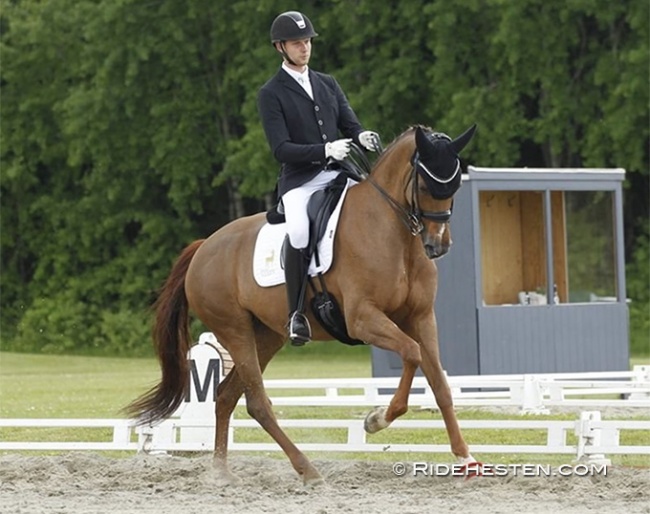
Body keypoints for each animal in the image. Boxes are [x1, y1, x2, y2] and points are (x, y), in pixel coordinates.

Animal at [126, 123, 478, 485]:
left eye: (453, 186)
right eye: (424, 185)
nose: (438, 245)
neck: (393, 234)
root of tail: (203, 247)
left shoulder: (421, 317)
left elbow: (440, 384)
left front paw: (466, 458)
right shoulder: (362, 319)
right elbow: (411, 353)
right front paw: (376, 419)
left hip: (266, 335)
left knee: (226, 395)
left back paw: (222, 471)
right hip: (235, 331)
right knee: (257, 402)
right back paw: (307, 470)